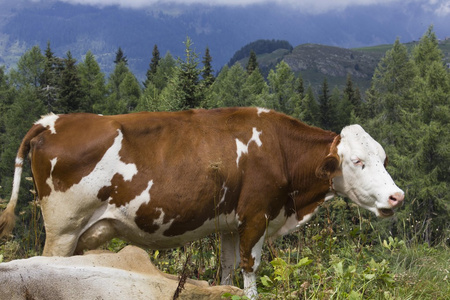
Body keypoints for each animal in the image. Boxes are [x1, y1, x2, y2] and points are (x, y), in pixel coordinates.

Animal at [0, 107, 404, 298]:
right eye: (358, 161)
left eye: (384, 158)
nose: (397, 196)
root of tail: (52, 121)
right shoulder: (256, 215)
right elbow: (250, 268)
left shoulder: (230, 223)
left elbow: (227, 269)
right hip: (63, 228)